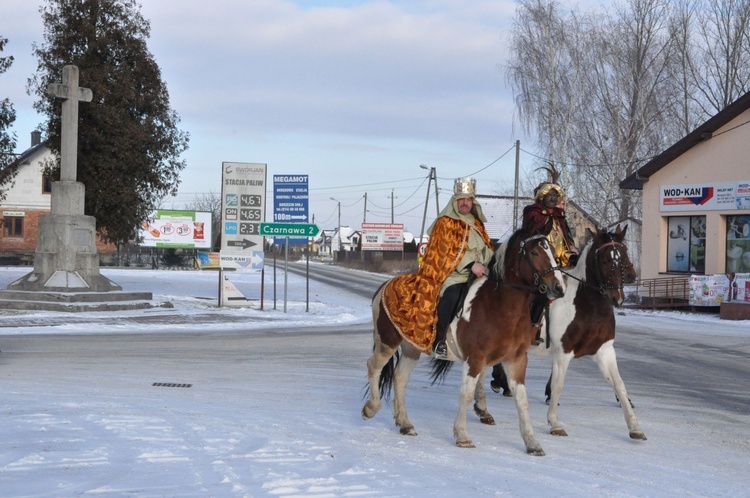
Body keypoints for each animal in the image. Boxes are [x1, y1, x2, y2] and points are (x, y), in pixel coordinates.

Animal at [362, 229, 568, 456]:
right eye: (534, 252)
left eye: (553, 252)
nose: (559, 288)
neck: (500, 305)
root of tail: (384, 287)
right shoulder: (475, 359)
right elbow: (467, 394)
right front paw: (462, 436)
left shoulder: (516, 360)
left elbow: (521, 400)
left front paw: (532, 443)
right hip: (388, 341)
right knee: (374, 367)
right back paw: (371, 408)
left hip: (411, 348)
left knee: (399, 378)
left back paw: (405, 423)